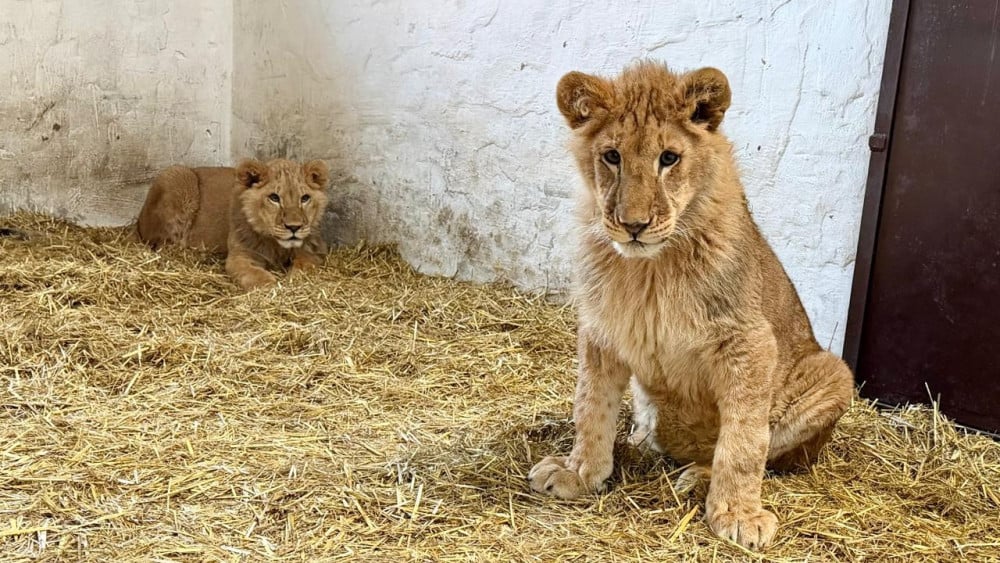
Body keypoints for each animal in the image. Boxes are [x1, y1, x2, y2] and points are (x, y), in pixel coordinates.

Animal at [136, 158, 330, 290]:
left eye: (304, 198)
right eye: (274, 198)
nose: (294, 227)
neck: (277, 246)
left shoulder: (315, 250)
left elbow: (305, 265)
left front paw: (294, 278)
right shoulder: (239, 255)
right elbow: (255, 275)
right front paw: (272, 286)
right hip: (177, 175)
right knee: (165, 245)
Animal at [527, 61, 854, 550]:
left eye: (669, 158)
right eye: (611, 156)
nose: (634, 225)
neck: (650, 270)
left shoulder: (750, 342)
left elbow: (744, 440)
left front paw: (738, 513)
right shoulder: (602, 329)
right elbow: (590, 406)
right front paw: (579, 473)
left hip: (833, 374)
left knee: (769, 455)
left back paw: (697, 476)